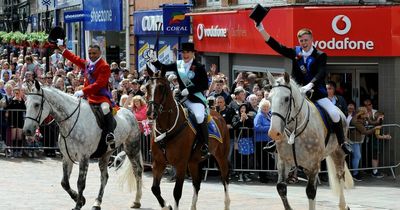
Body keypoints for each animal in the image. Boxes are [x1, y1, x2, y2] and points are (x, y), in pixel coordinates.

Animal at [22, 81, 144, 210]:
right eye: (25, 104)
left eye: (36, 105)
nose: (27, 131)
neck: (71, 121)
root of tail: (129, 112)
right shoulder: (66, 157)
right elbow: (64, 183)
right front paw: (79, 199)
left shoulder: (84, 157)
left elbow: (80, 183)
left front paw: (78, 204)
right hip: (106, 154)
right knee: (104, 177)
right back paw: (97, 203)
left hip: (132, 148)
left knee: (137, 171)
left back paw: (136, 201)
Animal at [145, 71, 230, 209]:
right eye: (147, 87)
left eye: (161, 87)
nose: (151, 113)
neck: (167, 129)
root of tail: (219, 115)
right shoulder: (158, 163)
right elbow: (155, 189)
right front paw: (166, 206)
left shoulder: (181, 164)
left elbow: (177, 192)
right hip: (194, 162)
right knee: (197, 183)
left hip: (221, 157)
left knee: (225, 179)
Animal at [268, 71, 352, 209]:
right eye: (269, 99)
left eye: (286, 98)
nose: (274, 133)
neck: (295, 132)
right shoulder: (284, 161)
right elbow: (281, 187)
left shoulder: (313, 164)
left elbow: (311, 191)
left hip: (337, 152)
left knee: (340, 175)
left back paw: (343, 205)